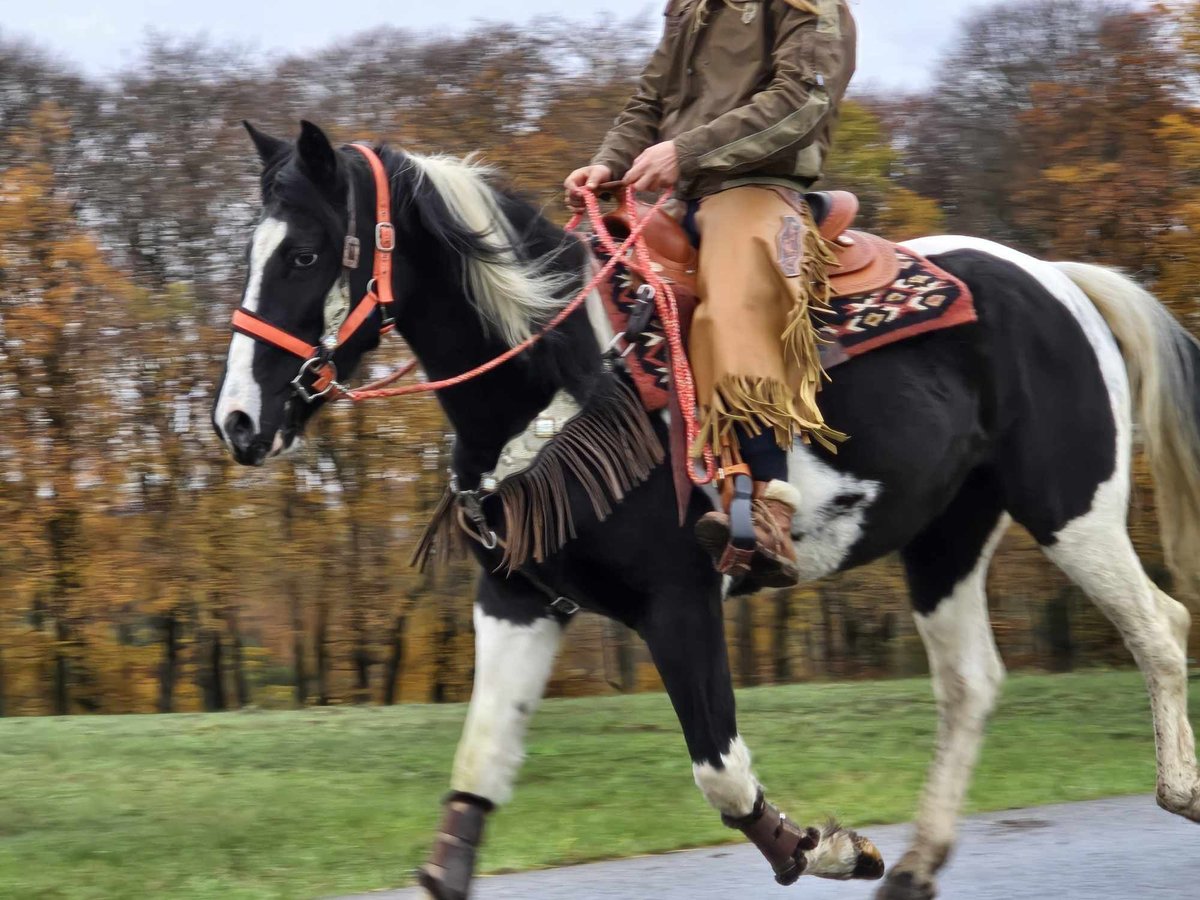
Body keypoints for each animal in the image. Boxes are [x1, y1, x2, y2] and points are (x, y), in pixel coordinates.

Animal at [213, 120, 1200, 900]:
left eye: (305, 254)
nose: (238, 421)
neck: (568, 374)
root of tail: (1055, 278)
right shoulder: (518, 601)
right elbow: (477, 773)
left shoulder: (680, 603)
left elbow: (722, 774)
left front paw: (830, 848)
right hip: (946, 538)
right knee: (971, 683)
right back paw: (919, 867)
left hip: (1071, 508)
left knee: (1157, 625)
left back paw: (1179, 791)